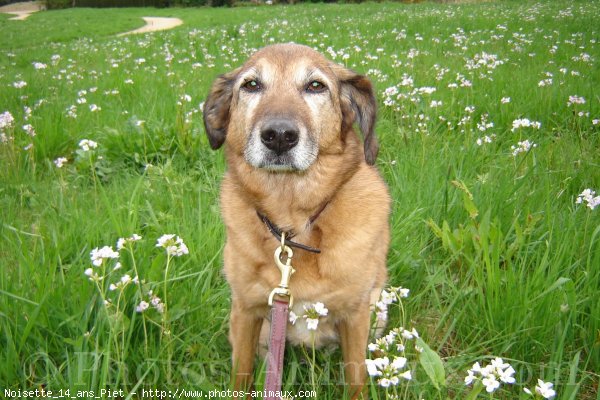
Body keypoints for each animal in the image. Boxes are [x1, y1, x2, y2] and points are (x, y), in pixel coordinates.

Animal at [203, 42, 390, 398]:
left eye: (316, 86)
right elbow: (241, 375)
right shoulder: (246, 311)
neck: (292, 223)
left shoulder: (355, 316)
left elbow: (356, 377)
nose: (278, 135)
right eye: (251, 84)